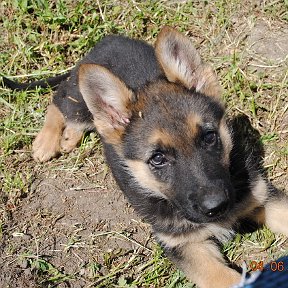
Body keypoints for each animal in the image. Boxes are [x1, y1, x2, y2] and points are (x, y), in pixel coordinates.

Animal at [2, 26, 288, 286]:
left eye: (209, 137)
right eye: (157, 159)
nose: (216, 207)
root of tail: (107, 40)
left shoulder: (264, 197)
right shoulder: (186, 247)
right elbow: (226, 278)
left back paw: (68, 138)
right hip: (79, 103)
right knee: (57, 103)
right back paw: (46, 142)